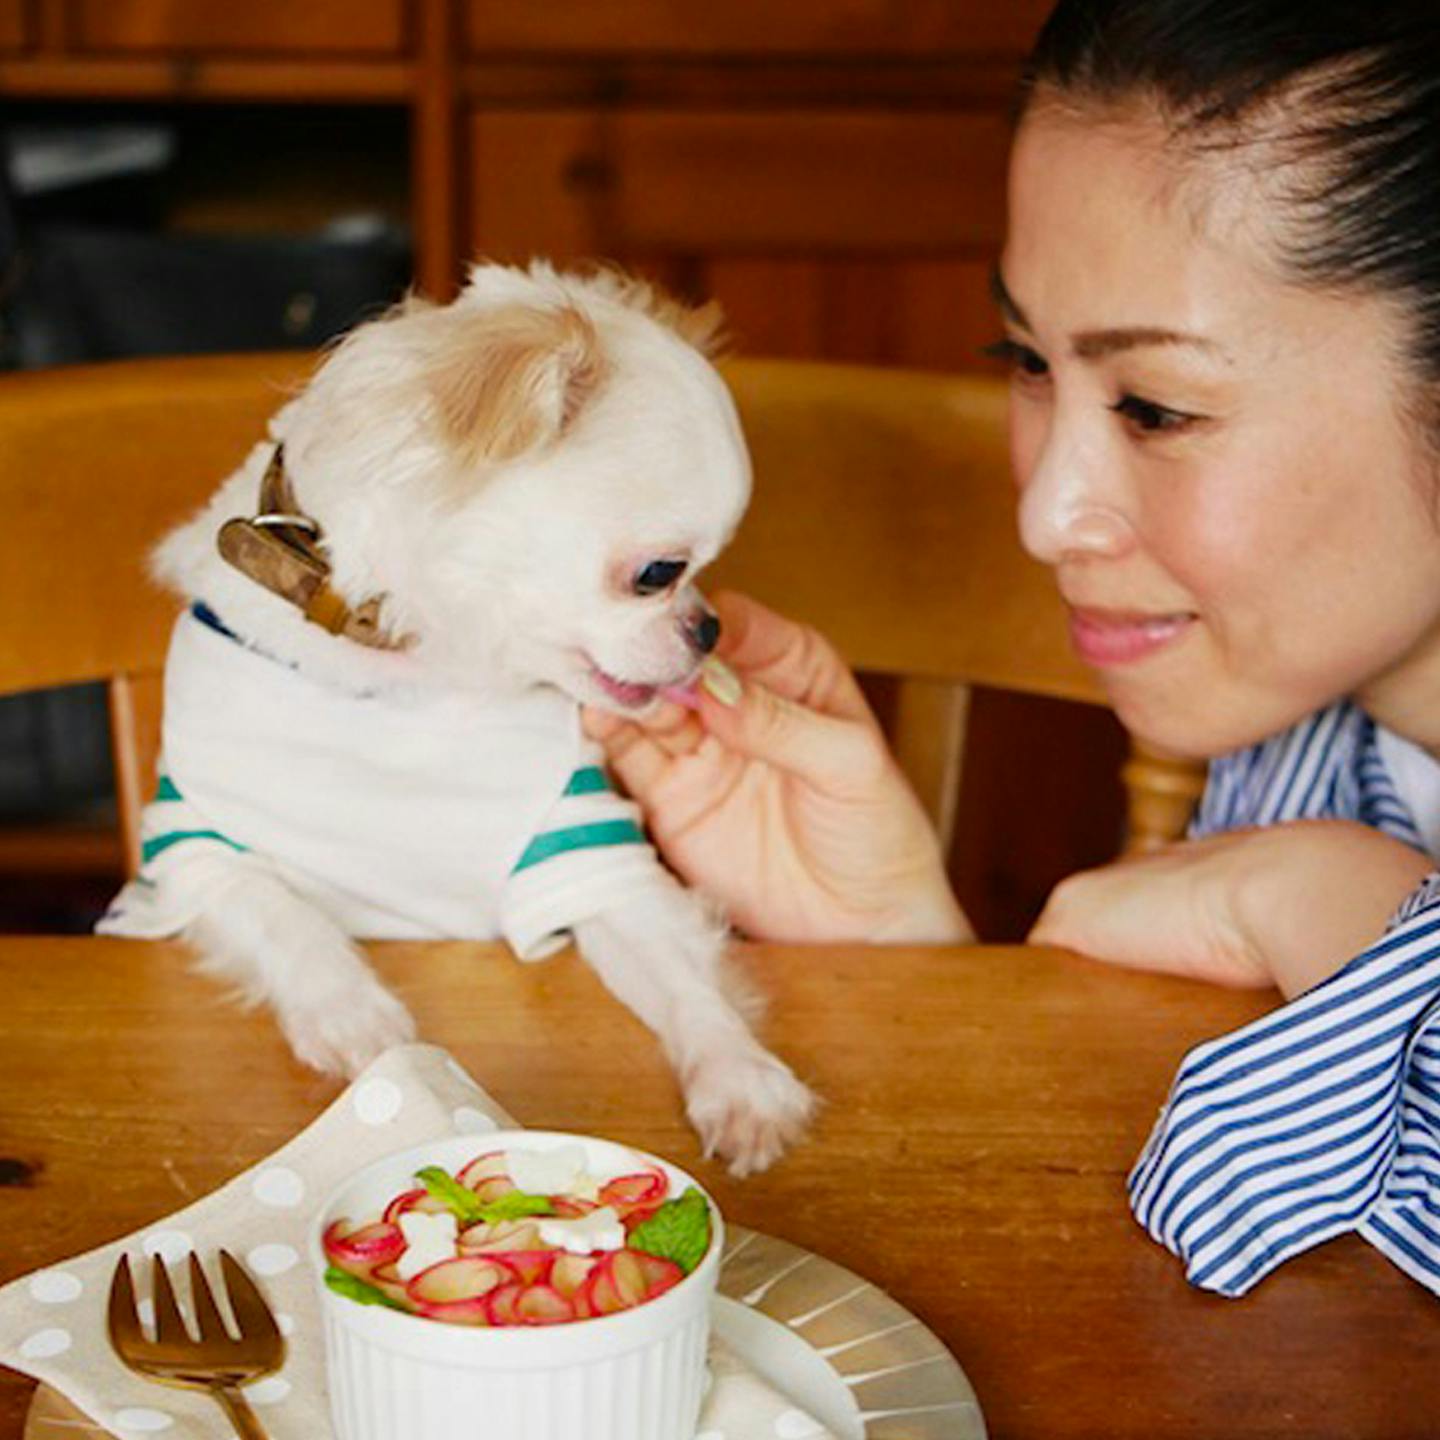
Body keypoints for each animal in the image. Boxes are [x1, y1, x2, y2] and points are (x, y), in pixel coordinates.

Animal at [104, 264, 812, 1175]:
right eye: (660, 574)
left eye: (705, 578)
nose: (708, 630)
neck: (414, 674)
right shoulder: (194, 848)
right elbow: (282, 912)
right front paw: (355, 1015)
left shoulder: (585, 855)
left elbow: (685, 981)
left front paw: (741, 1079)